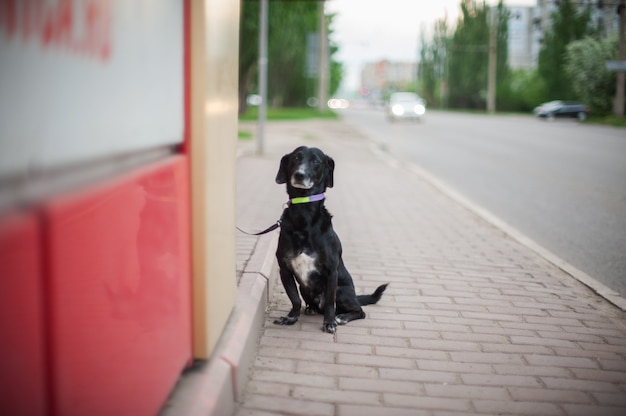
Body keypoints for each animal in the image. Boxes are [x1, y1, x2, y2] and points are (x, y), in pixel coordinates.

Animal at [272, 146, 386, 334]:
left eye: (316, 161)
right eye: (296, 158)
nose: (299, 174)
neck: (304, 215)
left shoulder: (332, 271)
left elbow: (330, 305)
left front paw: (330, 322)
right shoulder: (285, 270)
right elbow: (294, 299)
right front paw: (291, 317)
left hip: (342, 291)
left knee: (359, 311)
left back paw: (342, 317)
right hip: (304, 288)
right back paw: (311, 309)